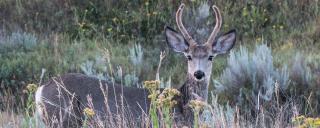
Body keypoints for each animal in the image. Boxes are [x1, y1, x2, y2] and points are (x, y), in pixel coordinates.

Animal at [35, 3, 235, 127]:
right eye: (188, 57)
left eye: (211, 57)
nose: (199, 74)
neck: (182, 106)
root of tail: (41, 89)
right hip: (61, 118)